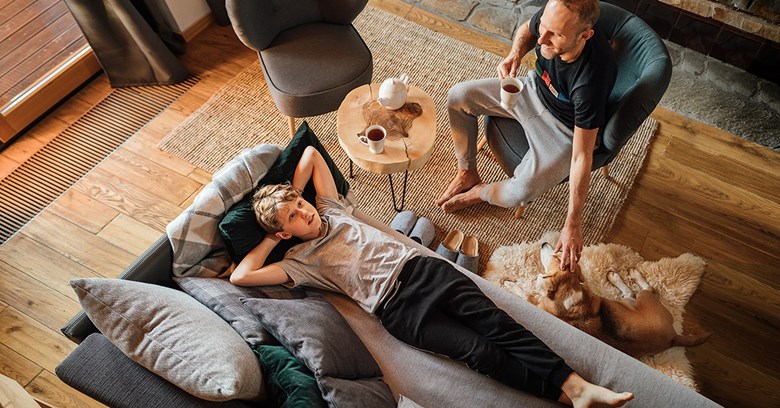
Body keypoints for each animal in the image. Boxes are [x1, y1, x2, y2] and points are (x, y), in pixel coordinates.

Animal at [532, 242, 708, 356]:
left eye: (556, 256)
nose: (544, 243)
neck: (568, 291)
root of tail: (673, 337)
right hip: (630, 303)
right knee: (630, 294)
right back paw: (616, 276)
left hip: (644, 297)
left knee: (647, 289)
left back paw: (628, 274)